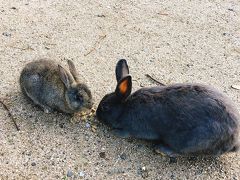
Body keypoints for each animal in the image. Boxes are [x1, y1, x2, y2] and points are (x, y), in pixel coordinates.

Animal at [96, 59, 239, 156]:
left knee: (180, 152)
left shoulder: (131, 128)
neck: (124, 108)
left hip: (188, 140)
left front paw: (115, 132)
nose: (96, 115)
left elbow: (125, 133)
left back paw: (161, 149)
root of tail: (233, 140)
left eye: (105, 107)